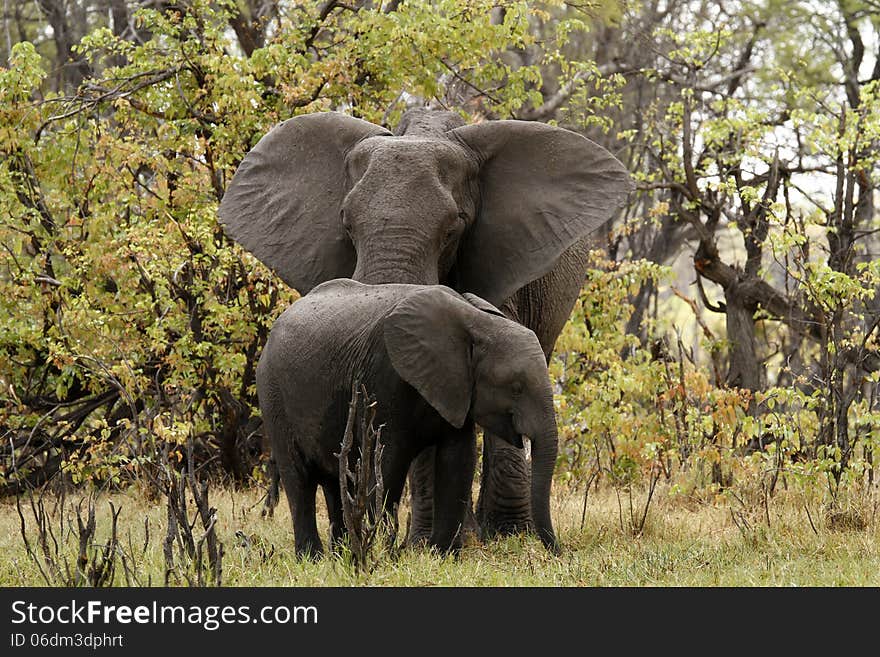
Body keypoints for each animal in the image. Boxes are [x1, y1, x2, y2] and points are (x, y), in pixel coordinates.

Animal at [256, 276, 556, 552]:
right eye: (516, 387)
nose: (555, 551)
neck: (476, 321)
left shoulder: (456, 389)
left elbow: (458, 460)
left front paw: (440, 555)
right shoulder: (386, 379)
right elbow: (389, 463)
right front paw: (383, 550)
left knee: (333, 482)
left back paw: (341, 553)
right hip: (273, 396)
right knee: (299, 480)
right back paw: (314, 557)